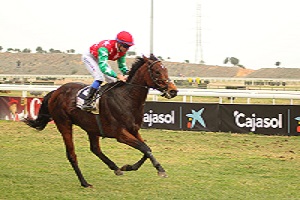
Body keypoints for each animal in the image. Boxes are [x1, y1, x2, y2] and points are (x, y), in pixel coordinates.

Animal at [24, 54, 178, 187]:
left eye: (166, 70)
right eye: (157, 72)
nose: (173, 91)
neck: (127, 98)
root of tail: (55, 91)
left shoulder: (134, 130)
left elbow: (147, 149)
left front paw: (128, 167)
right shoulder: (121, 134)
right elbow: (144, 148)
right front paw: (160, 170)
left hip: (91, 127)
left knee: (95, 149)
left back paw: (115, 168)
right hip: (64, 123)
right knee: (72, 155)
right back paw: (84, 183)